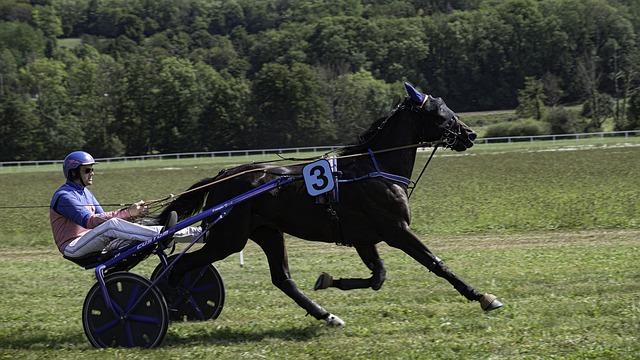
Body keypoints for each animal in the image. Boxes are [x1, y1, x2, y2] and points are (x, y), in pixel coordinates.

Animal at [156, 83, 504, 326]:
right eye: (442, 114)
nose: (470, 134)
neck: (374, 168)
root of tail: (223, 175)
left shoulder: (365, 238)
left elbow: (377, 277)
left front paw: (327, 280)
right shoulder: (396, 230)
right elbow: (436, 264)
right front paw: (483, 296)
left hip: (268, 233)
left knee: (282, 278)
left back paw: (327, 315)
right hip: (229, 238)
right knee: (179, 266)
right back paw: (169, 301)